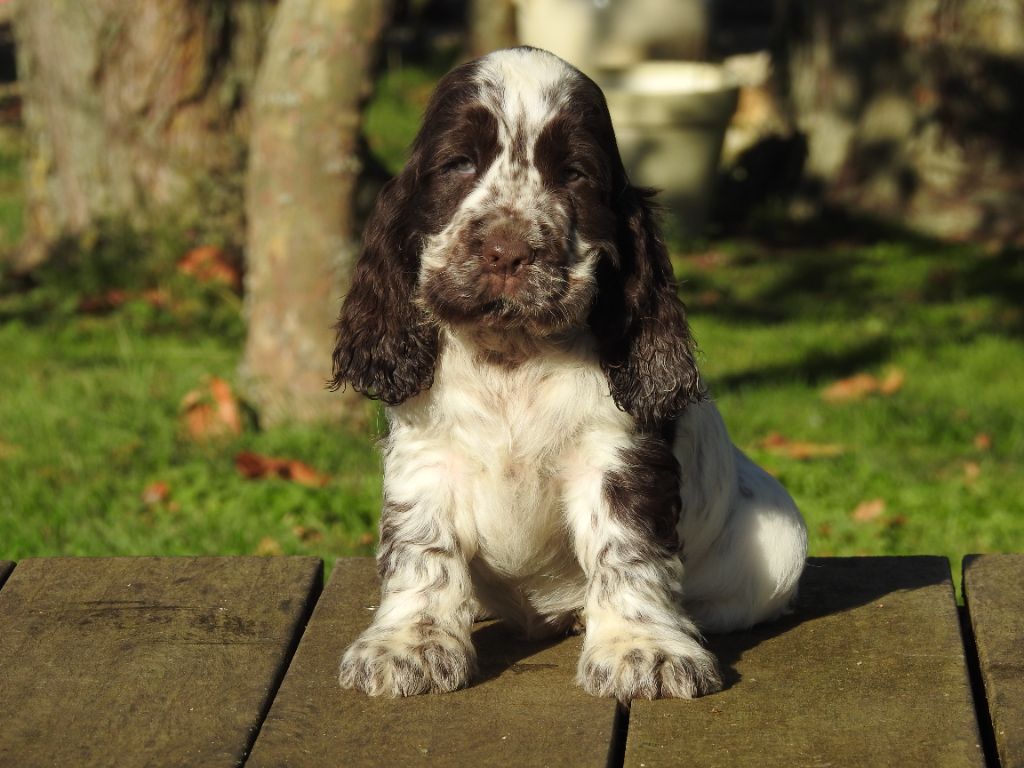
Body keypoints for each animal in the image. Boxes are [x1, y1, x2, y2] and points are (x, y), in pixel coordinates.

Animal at [331, 48, 802, 704]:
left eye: (575, 175)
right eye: (458, 163)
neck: (513, 355)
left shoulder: (619, 457)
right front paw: (409, 646)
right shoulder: (426, 456)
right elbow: (422, 550)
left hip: (784, 547)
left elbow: (627, 551)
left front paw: (644, 649)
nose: (507, 250)